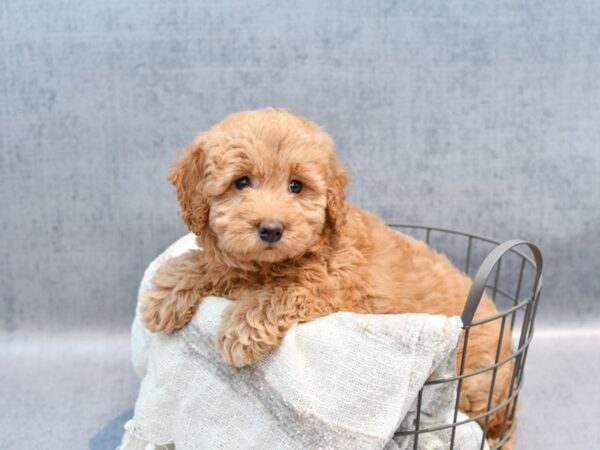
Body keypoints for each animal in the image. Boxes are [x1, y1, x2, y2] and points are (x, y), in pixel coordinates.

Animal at [143, 108, 512, 446]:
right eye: (241, 182)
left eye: (296, 186)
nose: (271, 229)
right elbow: (215, 265)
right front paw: (165, 293)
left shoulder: (331, 289)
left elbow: (282, 291)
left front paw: (241, 330)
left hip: (474, 385)